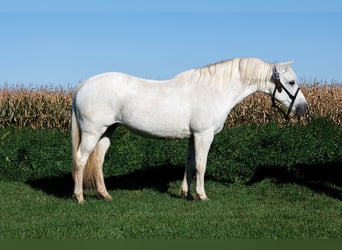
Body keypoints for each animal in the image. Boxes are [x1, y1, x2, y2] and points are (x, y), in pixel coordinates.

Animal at [72, 57, 310, 203]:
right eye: (291, 81)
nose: (304, 108)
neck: (214, 89)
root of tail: (83, 86)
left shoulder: (192, 136)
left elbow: (189, 164)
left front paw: (185, 193)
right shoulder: (204, 134)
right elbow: (201, 165)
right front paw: (201, 195)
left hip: (107, 132)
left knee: (98, 161)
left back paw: (105, 195)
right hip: (93, 133)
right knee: (81, 160)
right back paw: (79, 197)